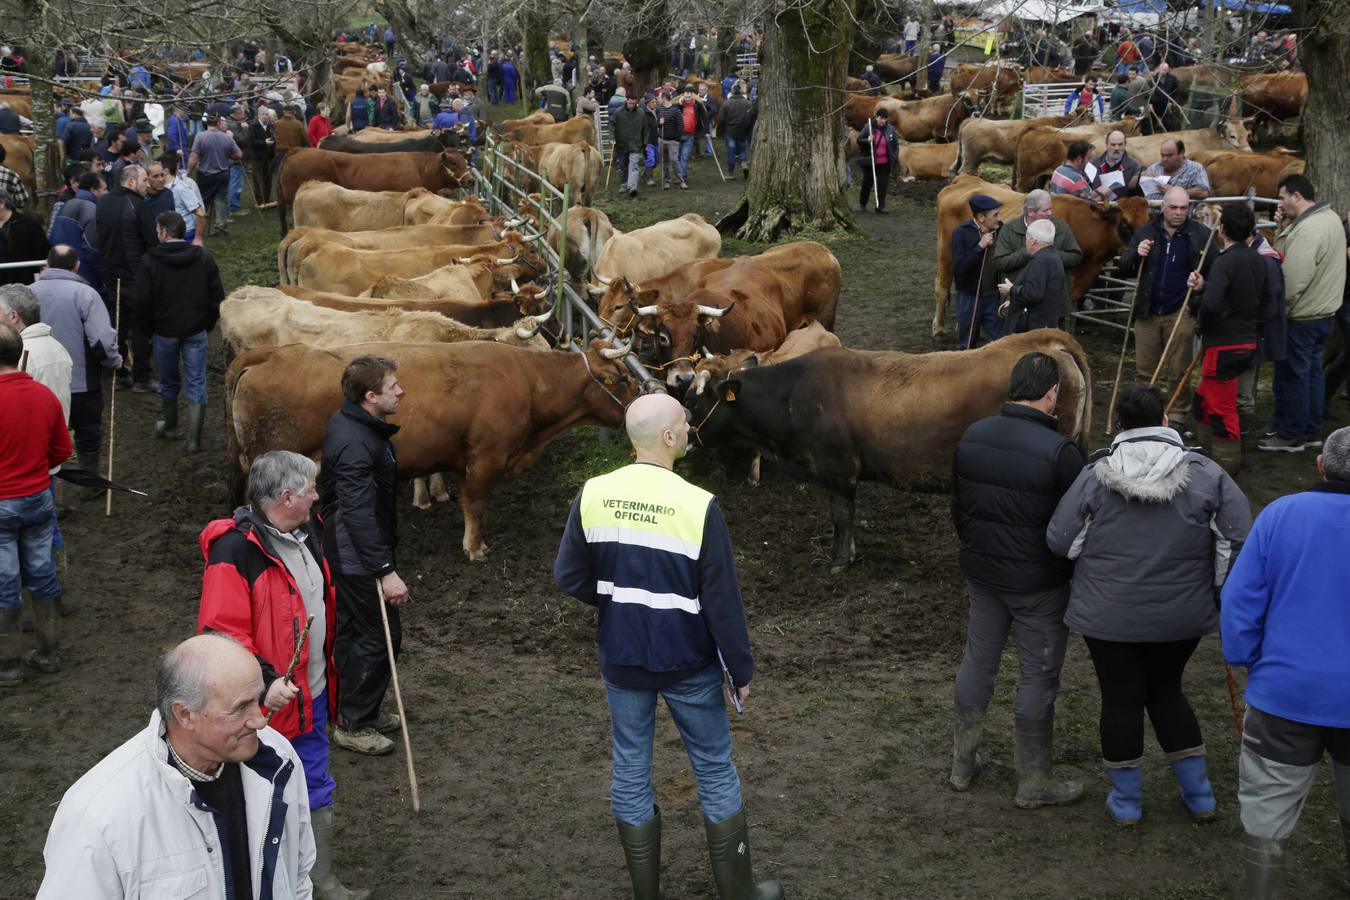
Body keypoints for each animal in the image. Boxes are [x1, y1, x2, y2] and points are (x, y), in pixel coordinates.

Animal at [222, 341, 642, 558]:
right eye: (622, 379)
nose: (646, 405)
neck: (526, 378)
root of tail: (270, 353)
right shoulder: (486, 456)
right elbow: (476, 503)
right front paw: (475, 547)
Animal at [939, 174, 1150, 335]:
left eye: (1148, 220)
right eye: (1125, 223)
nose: (1140, 256)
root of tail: (966, 179)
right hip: (947, 251)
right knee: (941, 285)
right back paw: (939, 328)